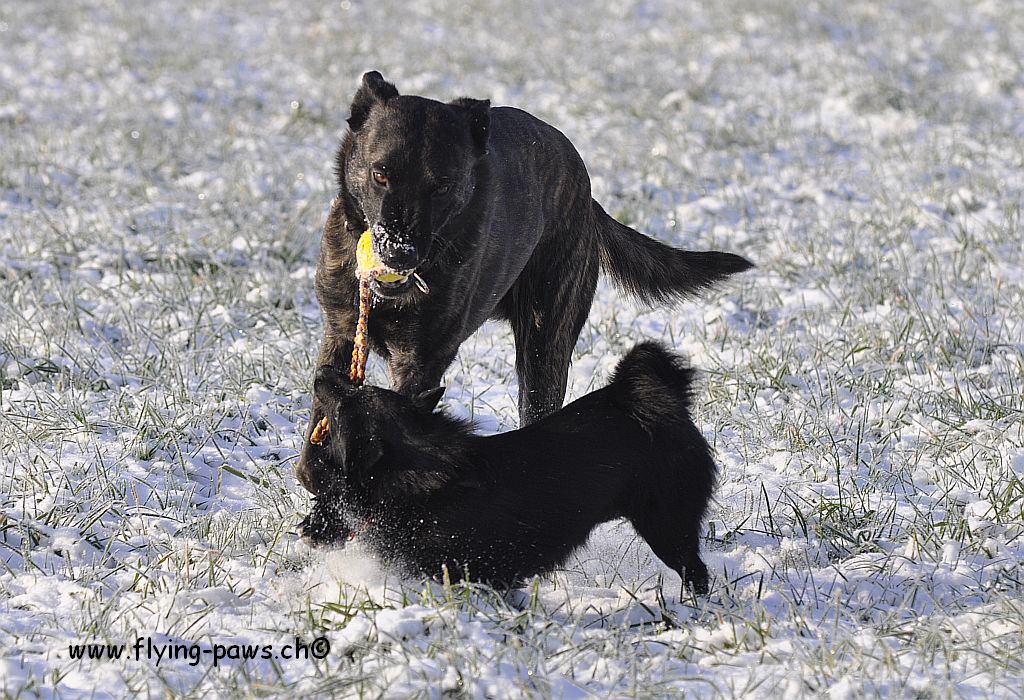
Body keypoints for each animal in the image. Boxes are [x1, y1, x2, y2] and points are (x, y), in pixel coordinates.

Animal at [292, 71, 749, 491]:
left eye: (442, 186)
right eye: (380, 175)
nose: (399, 254)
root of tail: (587, 196)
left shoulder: (420, 362)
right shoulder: (340, 333)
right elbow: (318, 438)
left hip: (544, 346)